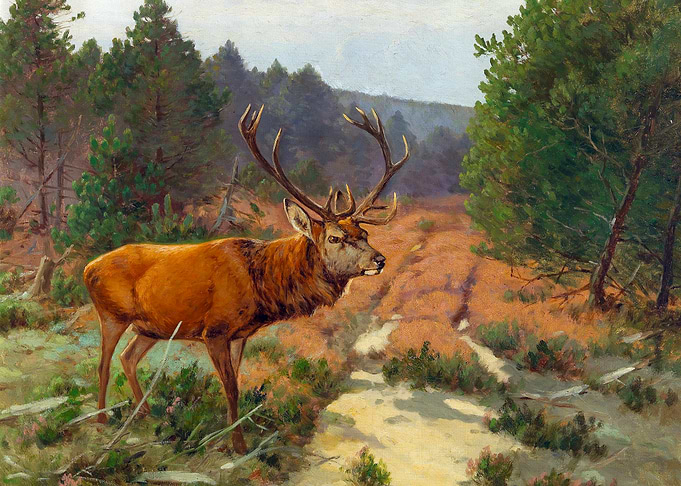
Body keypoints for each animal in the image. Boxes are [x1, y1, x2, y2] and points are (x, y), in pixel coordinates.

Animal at [83, 104, 410, 454]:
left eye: (364, 234)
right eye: (335, 238)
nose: (380, 259)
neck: (261, 283)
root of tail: (88, 269)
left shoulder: (240, 334)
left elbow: (236, 383)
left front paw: (234, 437)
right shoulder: (214, 330)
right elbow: (231, 388)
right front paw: (238, 446)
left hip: (151, 328)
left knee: (128, 358)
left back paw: (143, 412)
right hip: (112, 314)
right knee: (103, 364)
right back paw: (101, 419)